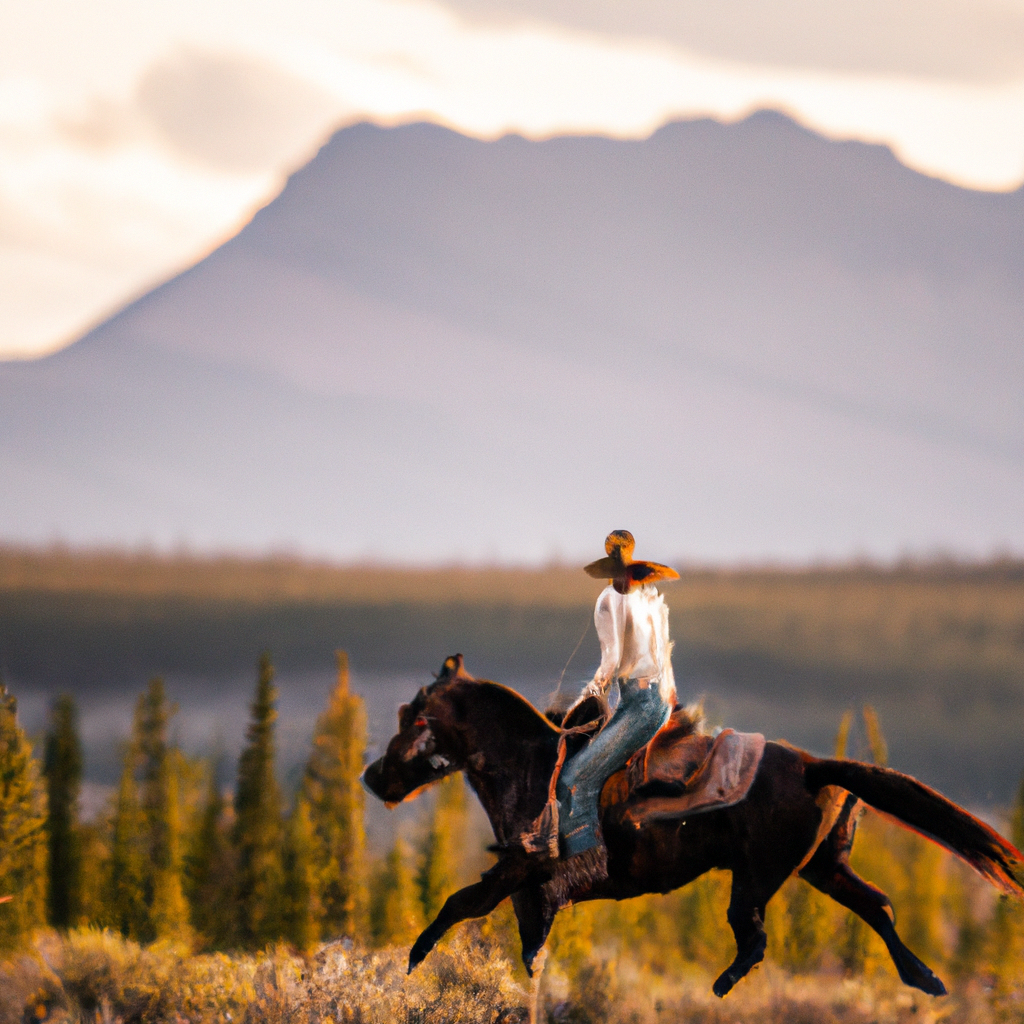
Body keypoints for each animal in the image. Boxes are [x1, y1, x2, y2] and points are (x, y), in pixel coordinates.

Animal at [362, 655, 1024, 999]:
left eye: (411, 716)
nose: (373, 777)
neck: (527, 761)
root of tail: (816, 767)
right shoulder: (530, 884)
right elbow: (527, 945)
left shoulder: (522, 866)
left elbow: (461, 903)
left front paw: (413, 959)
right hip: (820, 867)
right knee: (877, 906)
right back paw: (925, 978)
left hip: (759, 875)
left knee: (755, 939)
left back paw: (721, 987)